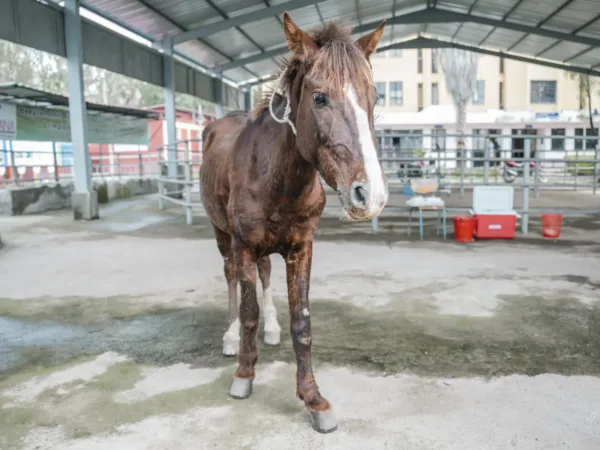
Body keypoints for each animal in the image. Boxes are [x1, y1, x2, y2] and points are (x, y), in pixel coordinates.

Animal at [199, 13, 388, 433]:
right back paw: (229, 337)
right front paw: (244, 375)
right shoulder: (243, 244)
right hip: (223, 237)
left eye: (374, 99)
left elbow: (301, 323)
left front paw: (314, 399)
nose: (370, 195)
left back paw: (271, 331)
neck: (274, 176)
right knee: (231, 278)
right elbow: (248, 311)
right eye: (319, 98)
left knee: (266, 276)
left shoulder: (301, 247)